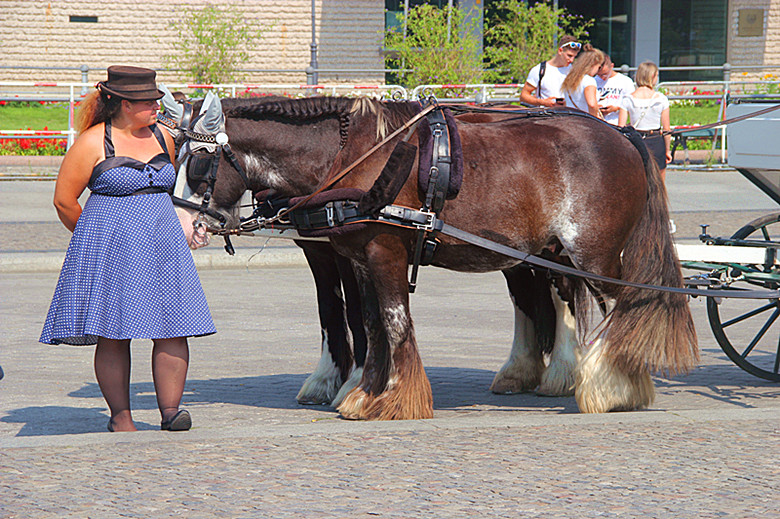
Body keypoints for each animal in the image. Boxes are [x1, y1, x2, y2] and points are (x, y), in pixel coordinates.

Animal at [168, 92, 696, 418]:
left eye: (196, 164)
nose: (185, 228)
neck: (355, 157)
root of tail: (622, 136)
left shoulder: (383, 252)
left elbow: (391, 321)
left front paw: (393, 398)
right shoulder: (353, 257)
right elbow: (369, 323)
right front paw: (362, 393)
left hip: (592, 255)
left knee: (624, 305)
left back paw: (609, 384)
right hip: (541, 252)